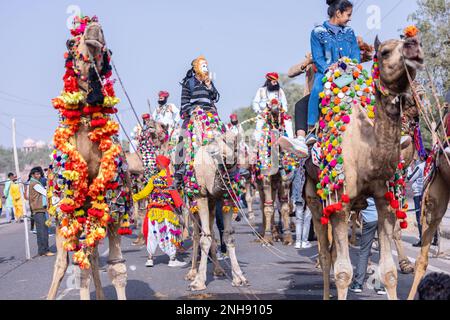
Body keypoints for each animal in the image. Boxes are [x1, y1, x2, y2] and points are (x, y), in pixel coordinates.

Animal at [46, 15, 131, 300]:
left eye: (108, 50)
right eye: (70, 42)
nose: (94, 27)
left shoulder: (116, 205)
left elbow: (116, 266)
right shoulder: (71, 207)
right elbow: (78, 268)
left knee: (92, 255)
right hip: (59, 217)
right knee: (63, 262)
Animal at [304, 30, 424, 300]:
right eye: (385, 52)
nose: (414, 45)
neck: (367, 154)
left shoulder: (385, 201)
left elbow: (389, 271)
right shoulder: (339, 204)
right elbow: (343, 272)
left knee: (333, 251)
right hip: (314, 197)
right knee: (325, 255)